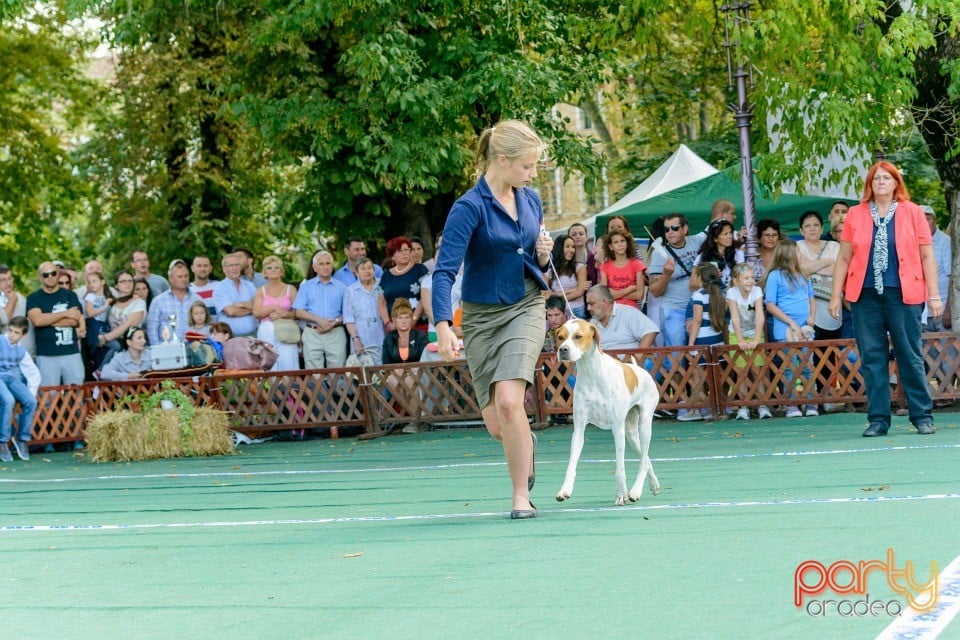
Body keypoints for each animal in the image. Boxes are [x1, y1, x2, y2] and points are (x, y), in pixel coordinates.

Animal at [552, 318, 656, 504]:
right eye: (560, 337)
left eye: (578, 336)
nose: (562, 350)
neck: (592, 373)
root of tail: (641, 370)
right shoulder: (578, 430)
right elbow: (571, 464)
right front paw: (565, 489)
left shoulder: (617, 429)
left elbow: (619, 467)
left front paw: (621, 493)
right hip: (631, 434)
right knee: (647, 459)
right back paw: (654, 485)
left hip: (644, 427)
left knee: (644, 459)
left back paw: (636, 490)